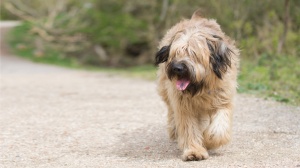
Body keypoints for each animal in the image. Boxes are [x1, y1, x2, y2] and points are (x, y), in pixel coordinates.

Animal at [155, 9, 239, 161]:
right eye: (175, 53)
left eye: (193, 54)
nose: (177, 68)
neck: (200, 88)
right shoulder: (184, 105)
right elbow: (189, 128)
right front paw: (194, 151)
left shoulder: (223, 99)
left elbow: (219, 129)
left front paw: (209, 141)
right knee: (171, 111)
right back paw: (174, 130)